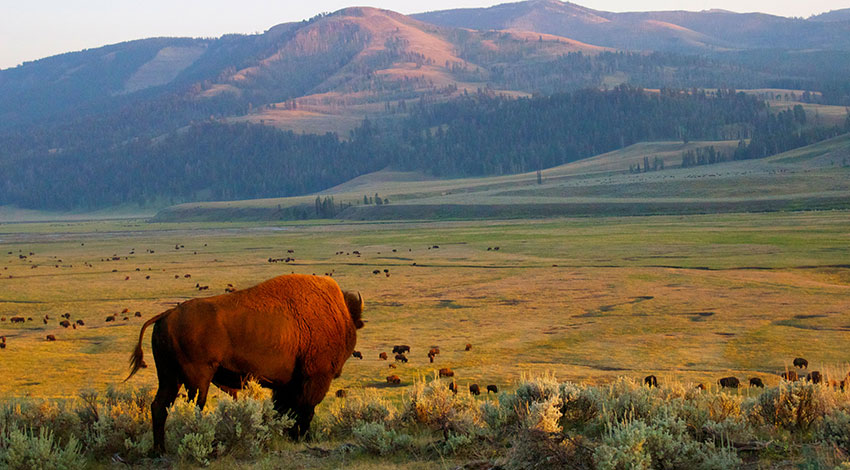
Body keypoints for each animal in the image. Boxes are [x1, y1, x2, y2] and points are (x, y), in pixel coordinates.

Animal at [126, 274, 362, 454]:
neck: (339, 314)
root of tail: (167, 314)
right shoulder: (314, 379)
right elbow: (304, 410)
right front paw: (301, 437)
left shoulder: (285, 385)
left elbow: (285, 410)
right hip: (197, 379)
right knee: (194, 407)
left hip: (169, 377)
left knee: (159, 407)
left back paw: (159, 451)